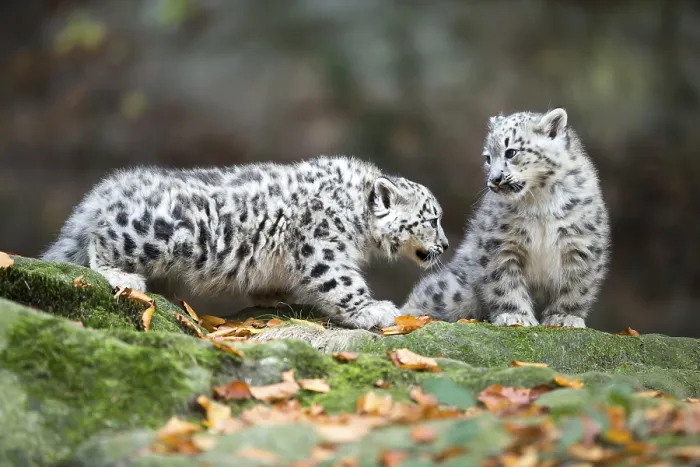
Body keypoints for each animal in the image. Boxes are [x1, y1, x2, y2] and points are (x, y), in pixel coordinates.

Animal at [41, 155, 449, 330]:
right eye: (433, 219)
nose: (445, 245)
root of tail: (111, 186)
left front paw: (275, 296)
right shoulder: (321, 247)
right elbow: (340, 283)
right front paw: (374, 310)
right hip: (156, 233)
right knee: (100, 241)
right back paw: (122, 276)